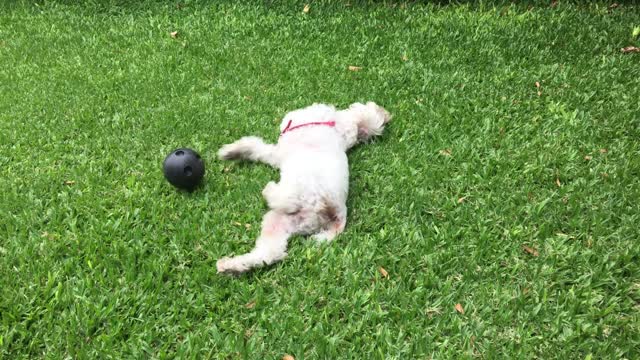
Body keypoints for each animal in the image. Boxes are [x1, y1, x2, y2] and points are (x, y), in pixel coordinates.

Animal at [218, 101, 392, 272]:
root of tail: (337, 216)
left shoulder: (278, 152)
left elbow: (256, 147)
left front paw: (231, 151)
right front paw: (231, 152)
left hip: (305, 192)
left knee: (285, 200)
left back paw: (270, 191)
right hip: (280, 222)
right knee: (270, 253)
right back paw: (231, 266)